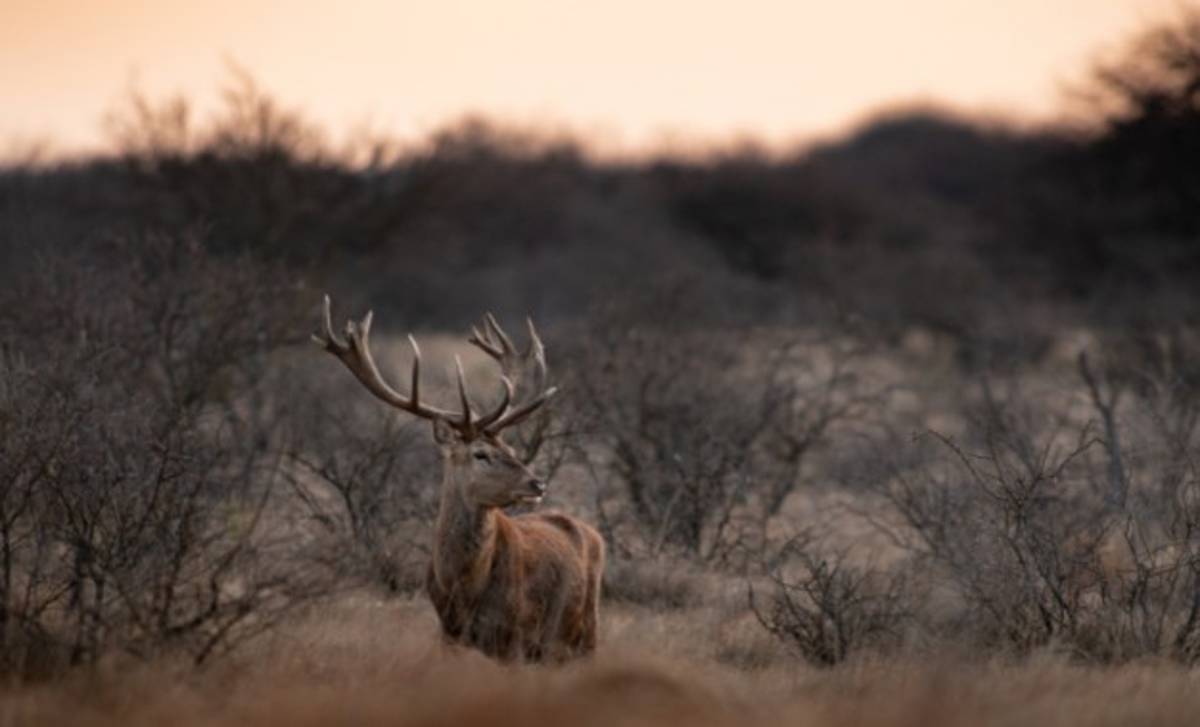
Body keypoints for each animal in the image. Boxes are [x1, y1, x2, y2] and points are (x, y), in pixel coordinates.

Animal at [313, 296, 604, 662]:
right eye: (480, 454)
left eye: (510, 447)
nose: (537, 483)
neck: (463, 588)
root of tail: (592, 533)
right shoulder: (448, 635)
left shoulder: (514, 638)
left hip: (582, 634)